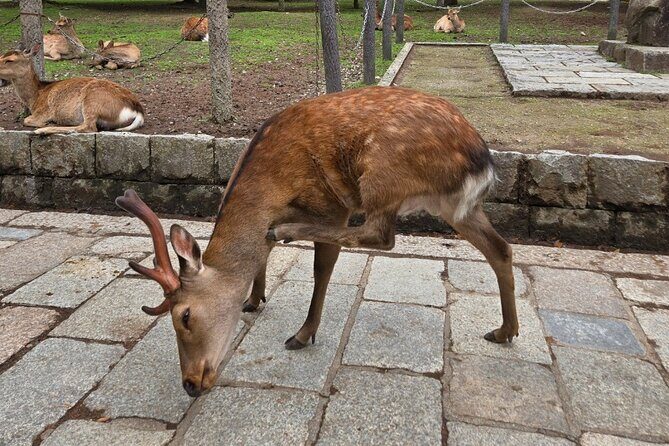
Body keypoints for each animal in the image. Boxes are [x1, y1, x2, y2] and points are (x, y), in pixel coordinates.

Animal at [0, 44, 145, 134]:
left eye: (10, 60)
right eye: (1, 56)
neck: (36, 96)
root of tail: (138, 112)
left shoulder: (43, 111)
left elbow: (26, 120)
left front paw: (44, 124)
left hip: (92, 100)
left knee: (89, 127)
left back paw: (44, 130)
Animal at [114, 86, 519, 397]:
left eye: (184, 315)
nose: (190, 383)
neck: (270, 185)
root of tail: (481, 159)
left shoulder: (331, 205)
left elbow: (321, 266)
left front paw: (303, 333)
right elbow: (262, 257)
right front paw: (253, 299)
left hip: (382, 174)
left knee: (381, 234)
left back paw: (286, 232)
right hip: (454, 205)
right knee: (500, 247)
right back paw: (505, 331)